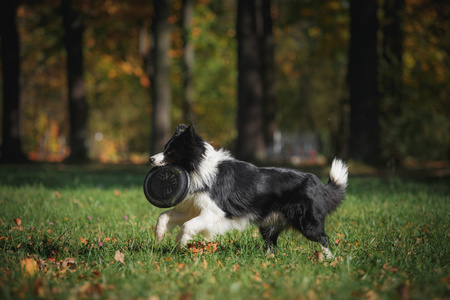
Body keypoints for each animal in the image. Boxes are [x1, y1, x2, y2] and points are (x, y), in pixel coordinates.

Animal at [151, 124, 348, 258]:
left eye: (172, 151)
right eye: (165, 147)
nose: (151, 158)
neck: (198, 167)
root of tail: (320, 185)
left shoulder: (214, 212)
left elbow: (187, 225)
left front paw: (180, 243)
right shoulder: (193, 207)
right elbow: (165, 215)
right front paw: (159, 235)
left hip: (307, 223)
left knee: (323, 238)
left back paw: (328, 260)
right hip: (269, 224)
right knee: (272, 243)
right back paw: (269, 260)